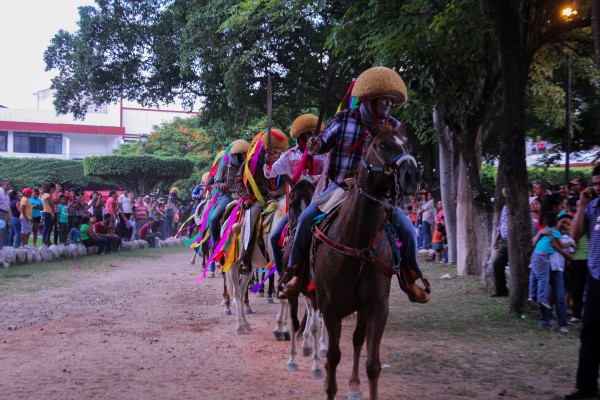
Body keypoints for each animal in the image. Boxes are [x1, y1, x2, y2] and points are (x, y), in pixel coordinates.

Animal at [312, 126, 420, 400]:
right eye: (382, 145)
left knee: (358, 339)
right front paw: (328, 385)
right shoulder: (330, 306)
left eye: (407, 145)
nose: (411, 176)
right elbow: (333, 356)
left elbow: (373, 364)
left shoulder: (377, 307)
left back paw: (354, 385)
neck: (357, 243)